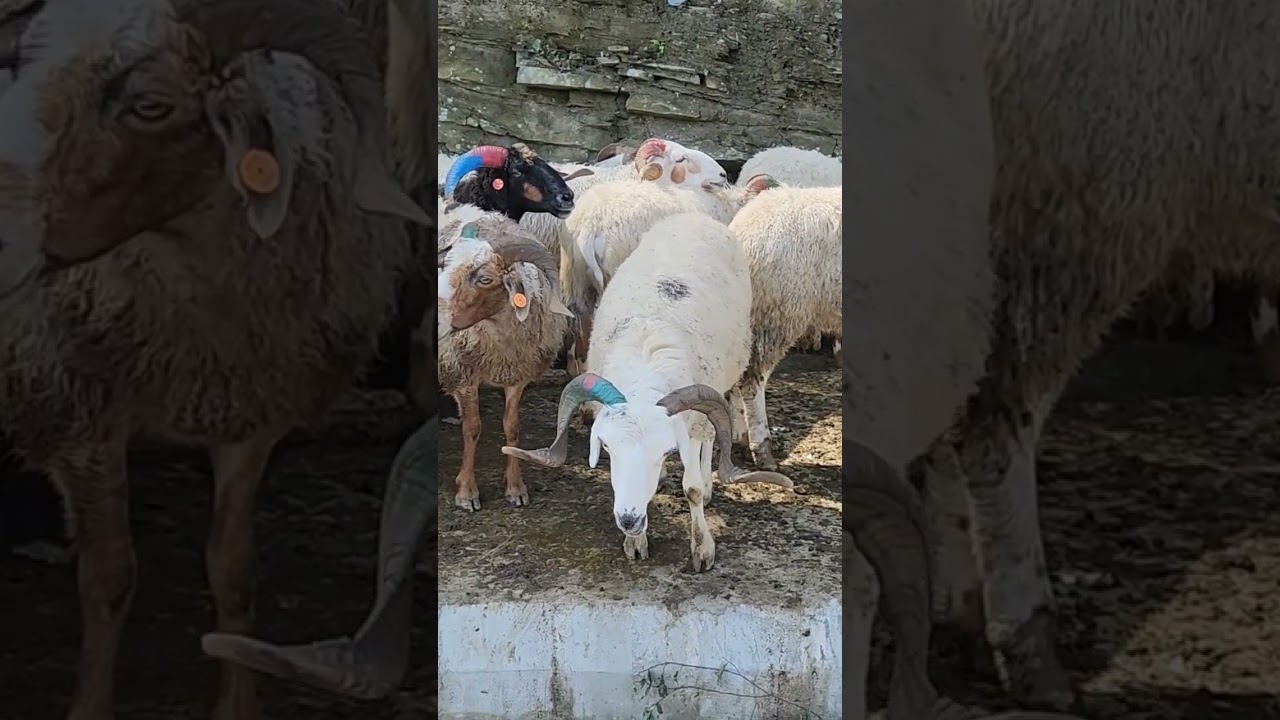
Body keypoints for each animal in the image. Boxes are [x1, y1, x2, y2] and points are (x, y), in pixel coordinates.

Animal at [0, 1, 431, 718]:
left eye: (149, 104)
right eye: (27, 65)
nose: (8, 246)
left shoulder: (251, 413)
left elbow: (234, 571)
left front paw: (238, 704)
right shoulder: (81, 411)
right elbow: (109, 577)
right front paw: (90, 704)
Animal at [437, 217, 573, 510]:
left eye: (485, 279)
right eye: (448, 268)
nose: (444, 322)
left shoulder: (517, 376)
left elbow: (512, 427)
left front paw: (515, 487)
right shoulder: (464, 375)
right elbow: (472, 429)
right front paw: (467, 491)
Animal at [503, 211, 792, 570]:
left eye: (666, 450)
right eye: (607, 448)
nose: (628, 521)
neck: (644, 363)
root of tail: (694, 216)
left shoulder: (695, 415)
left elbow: (692, 488)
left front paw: (702, 547)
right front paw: (635, 541)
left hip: (719, 385)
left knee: (711, 436)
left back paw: (707, 482)